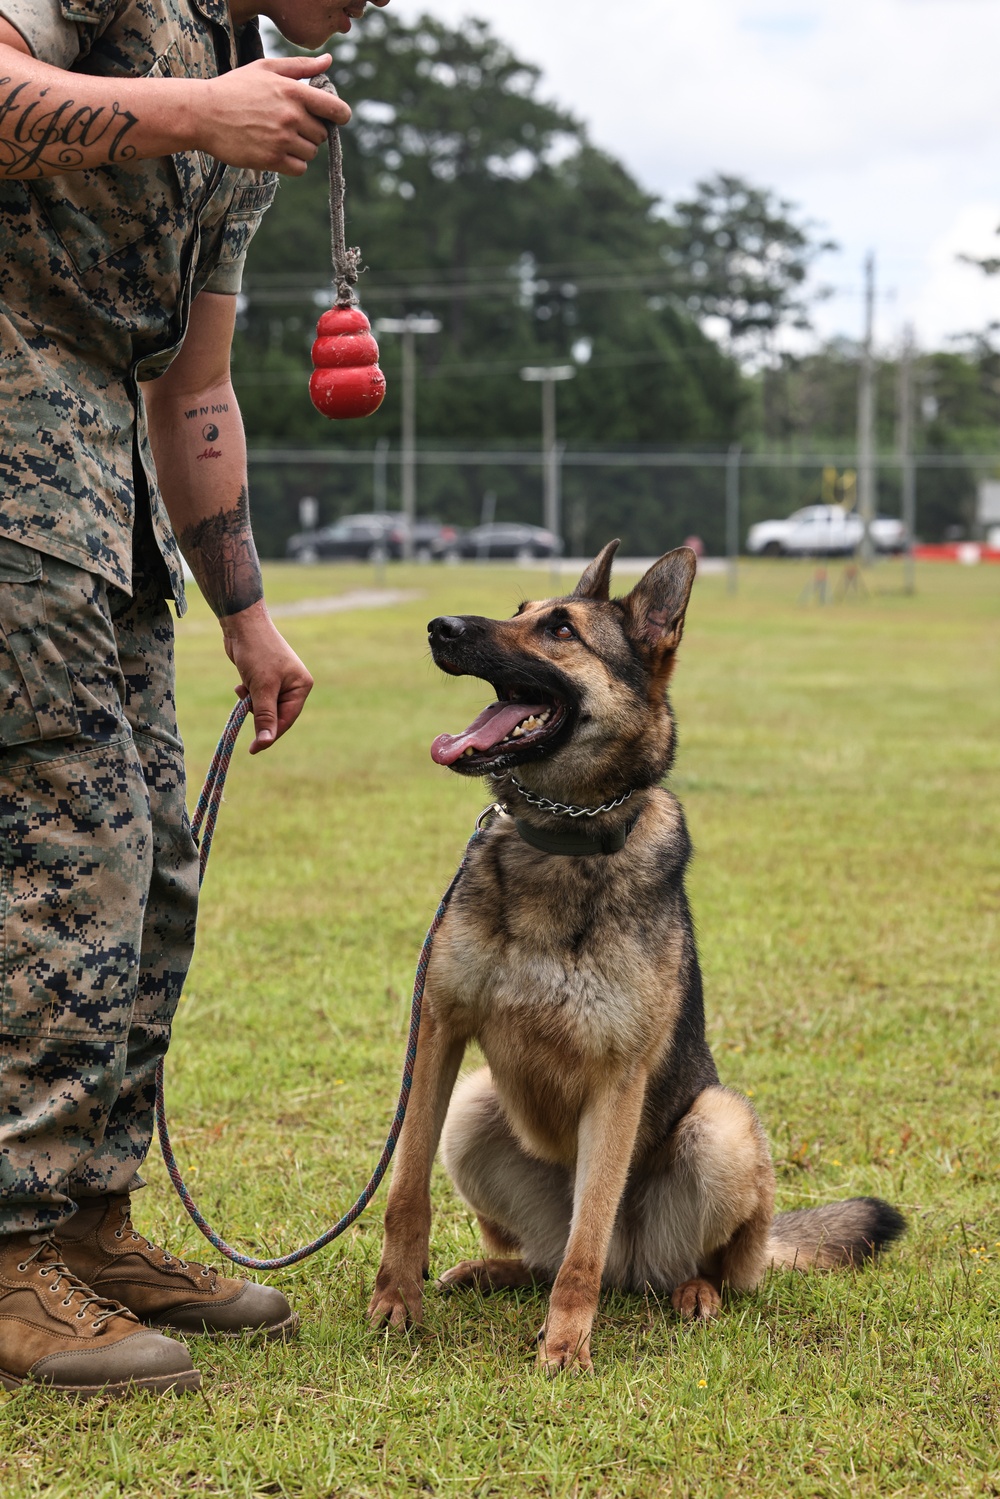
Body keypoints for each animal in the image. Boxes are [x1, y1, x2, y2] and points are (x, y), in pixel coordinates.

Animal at [370, 545, 905, 1373]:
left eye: (560, 628)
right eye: (519, 608)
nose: (440, 626)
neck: (561, 839)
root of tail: (633, 1270)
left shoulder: (618, 1077)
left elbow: (585, 1239)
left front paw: (567, 1344)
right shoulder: (440, 1031)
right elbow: (405, 1194)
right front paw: (397, 1298)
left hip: (722, 1126)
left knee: (669, 1260)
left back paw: (695, 1290)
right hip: (475, 1105)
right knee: (543, 1253)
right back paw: (495, 1269)